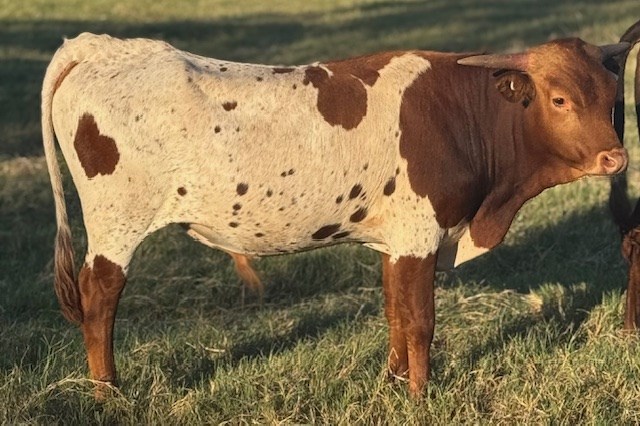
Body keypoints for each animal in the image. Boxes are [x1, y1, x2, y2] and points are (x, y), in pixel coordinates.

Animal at [42, 32, 629, 397]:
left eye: (612, 96)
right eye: (559, 99)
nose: (616, 158)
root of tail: (101, 47)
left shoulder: (396, 238)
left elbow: (395, 312)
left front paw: (395, 382)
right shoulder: (421, 234)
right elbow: (420, 321)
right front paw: (421, 394)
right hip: (116, 222)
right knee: (99, 296)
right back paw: (108, 393)